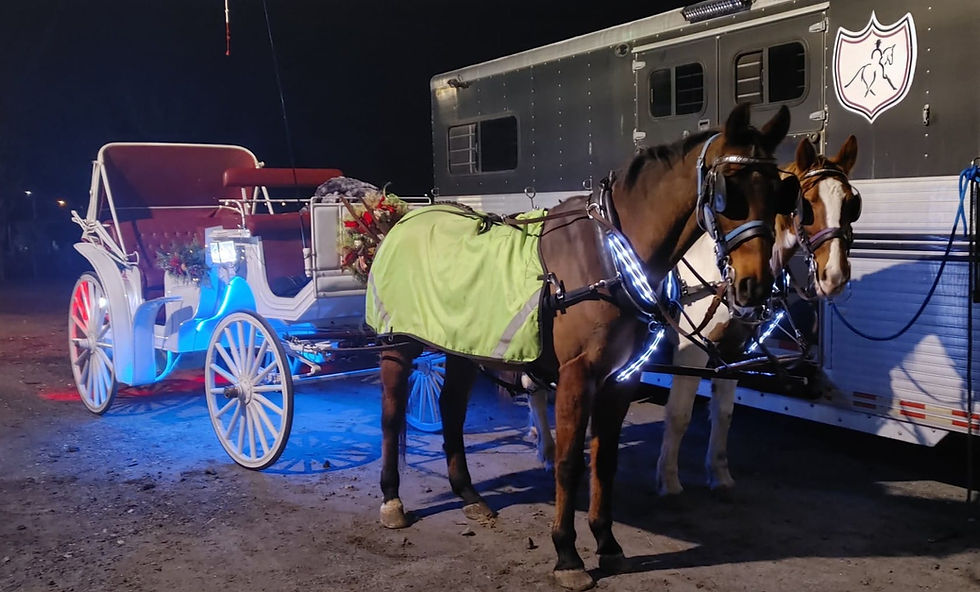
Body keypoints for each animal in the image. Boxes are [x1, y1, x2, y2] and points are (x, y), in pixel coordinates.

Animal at [368, 103, 797, 591]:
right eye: (728, 193)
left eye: (780, 193)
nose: (755, 286)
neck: (609, 256)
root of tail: (403, 219)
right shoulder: (577, 375)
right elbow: (570, 462)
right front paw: (567, 554)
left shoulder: (621, 377)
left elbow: (604, 460)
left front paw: (607, 543)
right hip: (399, 344)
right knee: (390, 416)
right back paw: (392, 500)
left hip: (462, 344)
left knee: (452, 409)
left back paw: (468, 493)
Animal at [655, 135, 860, 497]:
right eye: (807, 204)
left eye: (851, 204)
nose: (835, 275)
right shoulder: (690, 349)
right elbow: (679, 413)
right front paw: (668, 479)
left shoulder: (733, 351)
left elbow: (724, 413)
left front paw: (719, 475)